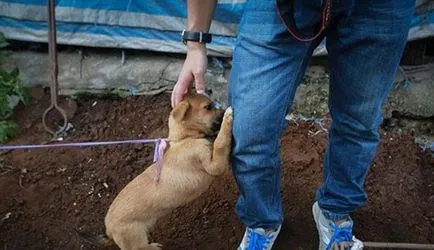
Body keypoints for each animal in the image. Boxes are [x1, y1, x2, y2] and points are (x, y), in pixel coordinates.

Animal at [104, 93, 232, 250]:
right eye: (208, 107)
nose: (224, 109)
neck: (184, 138)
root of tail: (109, 229)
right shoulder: (213, 165)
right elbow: (220, 143)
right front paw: (228, 118)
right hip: (135, 237)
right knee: (140, 247)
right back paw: (154, 247)